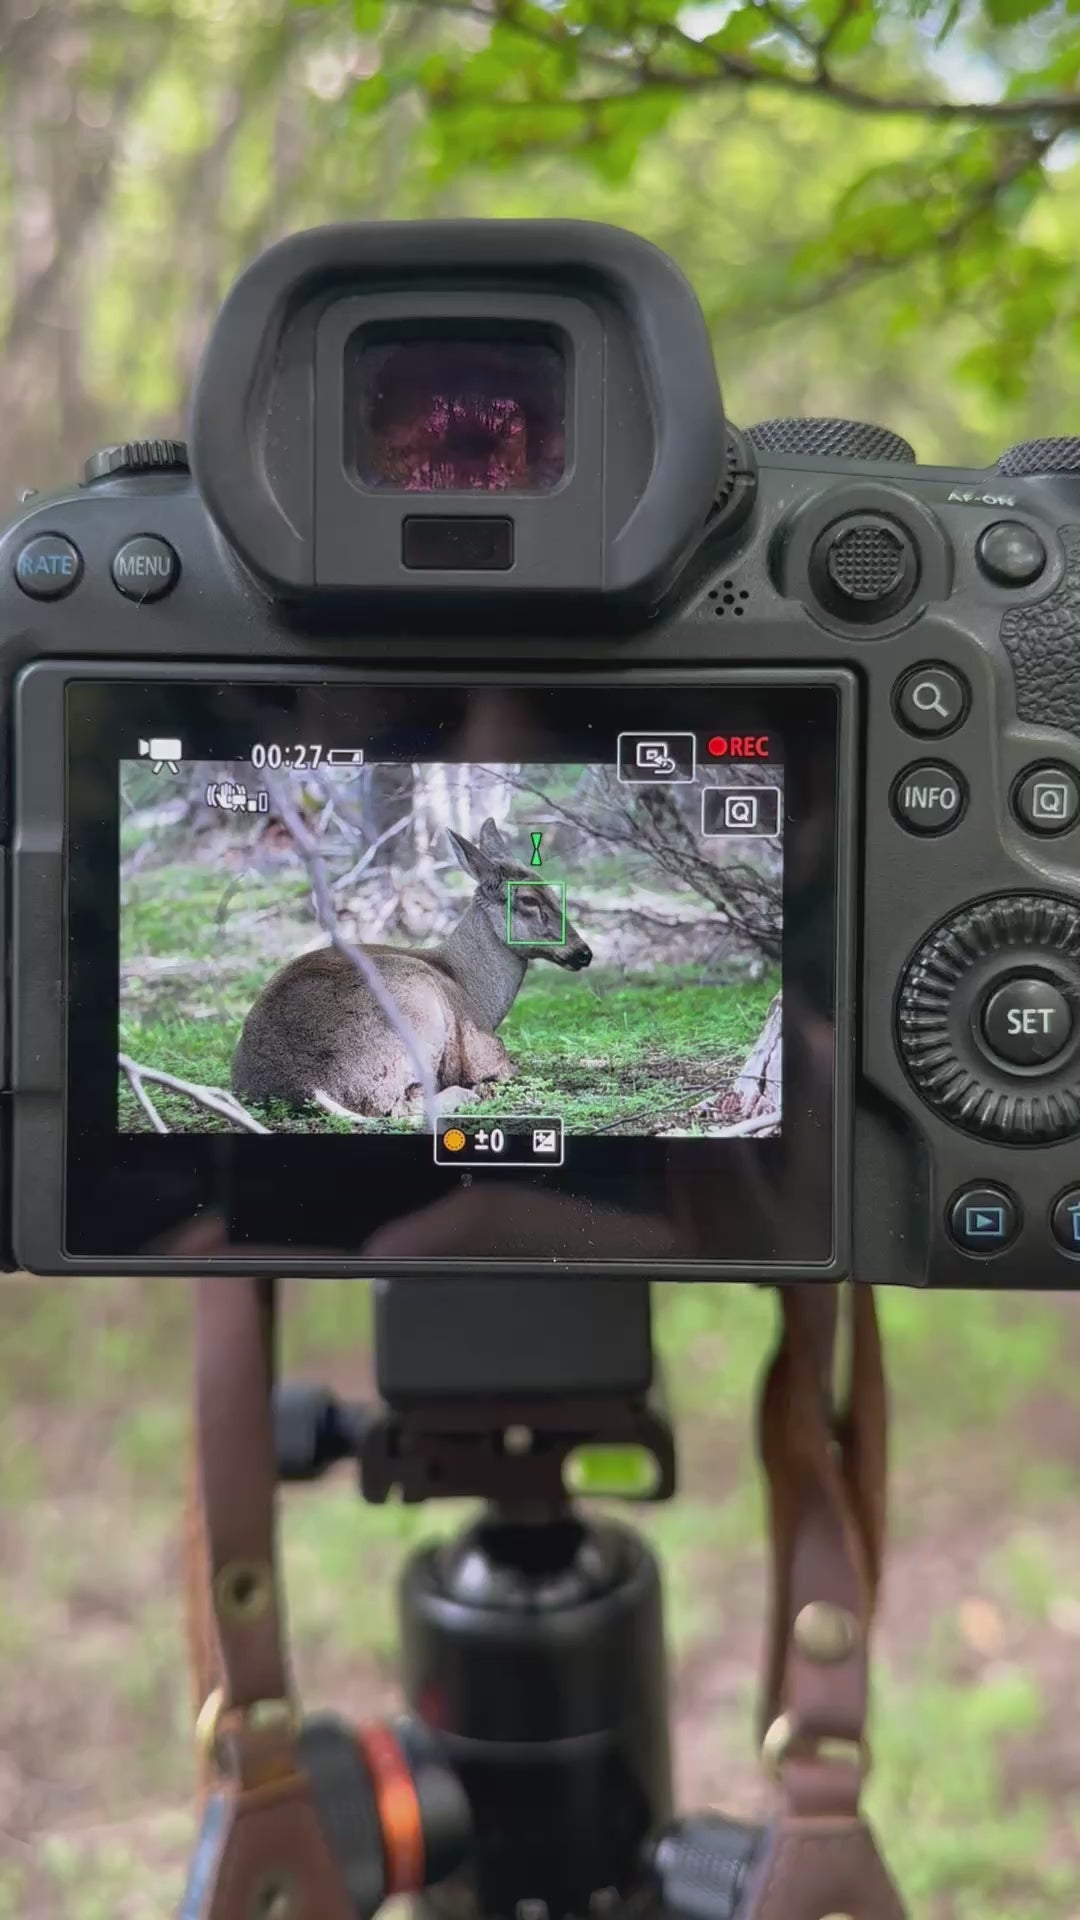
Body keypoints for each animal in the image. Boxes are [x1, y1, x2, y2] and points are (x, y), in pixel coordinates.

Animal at [231, 817, 592, 1124]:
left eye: (553, 890)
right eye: (529, 899)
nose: (583, 952)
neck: (469, 985)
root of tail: (307, 1086)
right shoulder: (483, 1048)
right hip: (417, 1014)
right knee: (403, 1105)